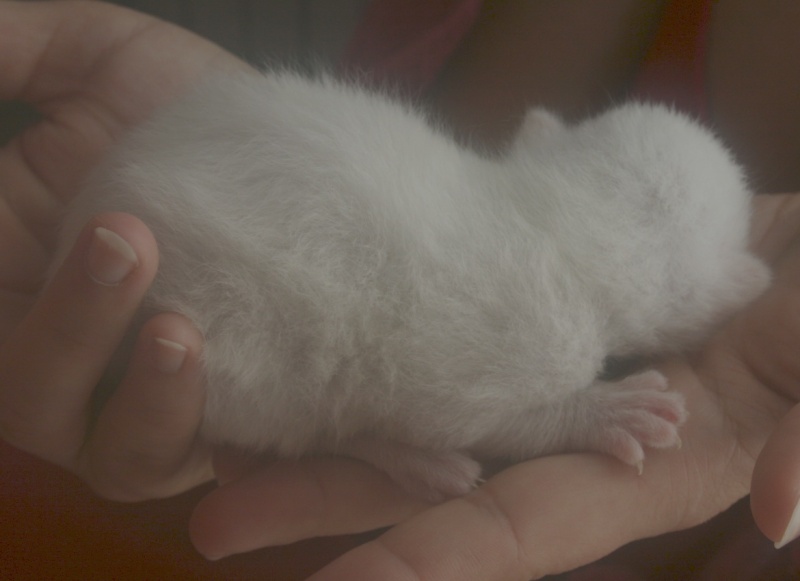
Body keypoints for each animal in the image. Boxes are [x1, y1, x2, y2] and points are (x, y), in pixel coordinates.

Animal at [51, 71, 768, 498]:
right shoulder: (496, 362)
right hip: (246, 369)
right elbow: (505, 422)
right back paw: (408, 457)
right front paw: (603, 412)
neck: (565, 214)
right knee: (313, 425)